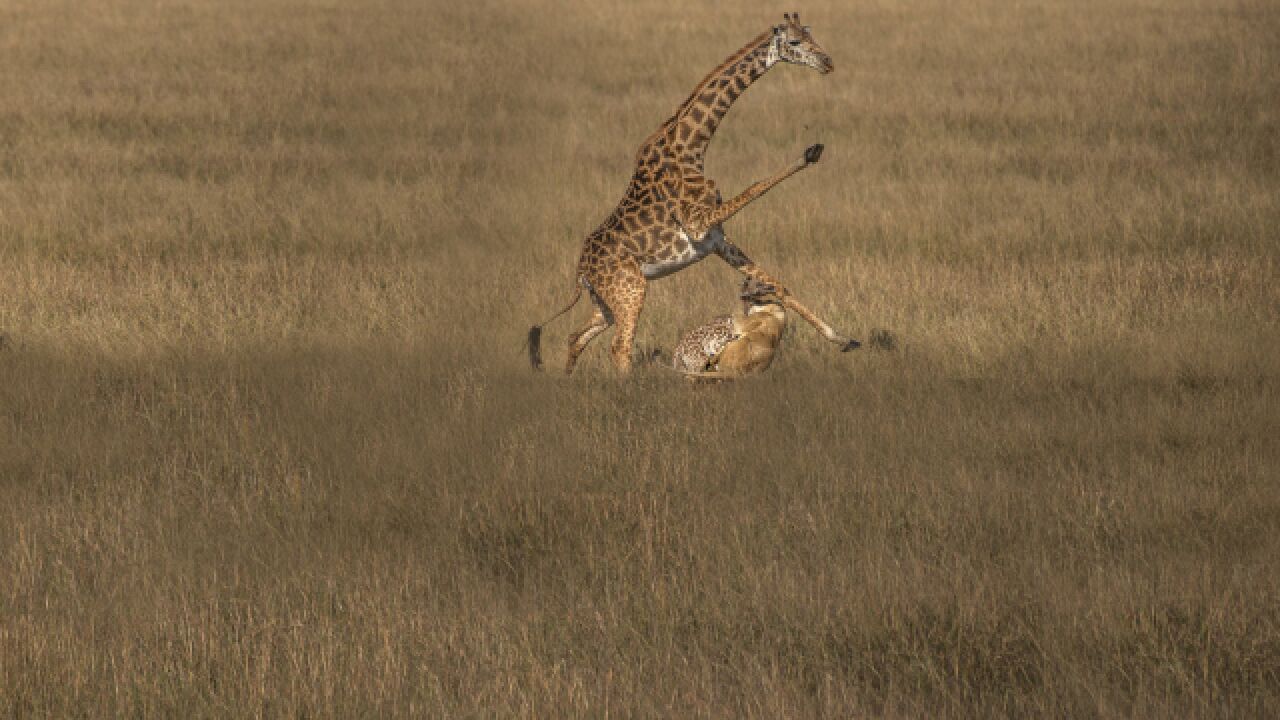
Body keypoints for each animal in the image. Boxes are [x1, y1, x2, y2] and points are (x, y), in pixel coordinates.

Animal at [529, 12, 860, 376]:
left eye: (811, 34)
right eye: (795, 41)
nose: (828, 62)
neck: (691, 147)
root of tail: (581, 272)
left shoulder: (716, 240)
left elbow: (778, 284)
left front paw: (844, 339)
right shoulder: (700, 225)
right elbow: (755, 186)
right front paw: (809, 153)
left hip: (606, 301)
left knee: (577, 336)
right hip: (631, 290)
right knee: (619, 347)